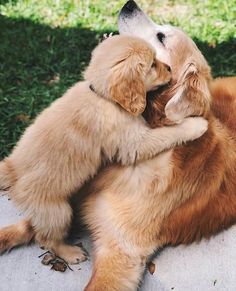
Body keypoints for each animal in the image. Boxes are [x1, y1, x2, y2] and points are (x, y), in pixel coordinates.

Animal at [0, 35, 206, 264]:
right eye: (153, 64)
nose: (169, 68)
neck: (103, 97)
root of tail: (11, 169)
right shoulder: (134, 142)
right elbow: (168, 134)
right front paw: (196, 125)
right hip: (56, 210)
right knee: (46, 237)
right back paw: (70, 253)